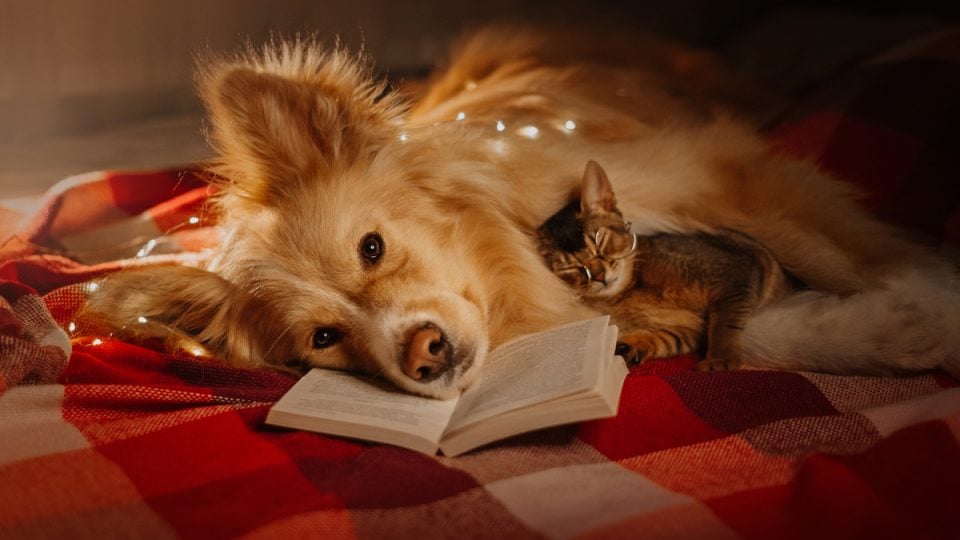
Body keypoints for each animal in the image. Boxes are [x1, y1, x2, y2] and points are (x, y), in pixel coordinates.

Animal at [536, 160, 792, 372]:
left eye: (600, 242)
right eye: (571, 268)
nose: (599, 277)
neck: (633, 289)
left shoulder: (733, 270)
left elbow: (725, 321)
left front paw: (721, 358)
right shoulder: (691, 329)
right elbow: (666, 339)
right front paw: (628, 346)